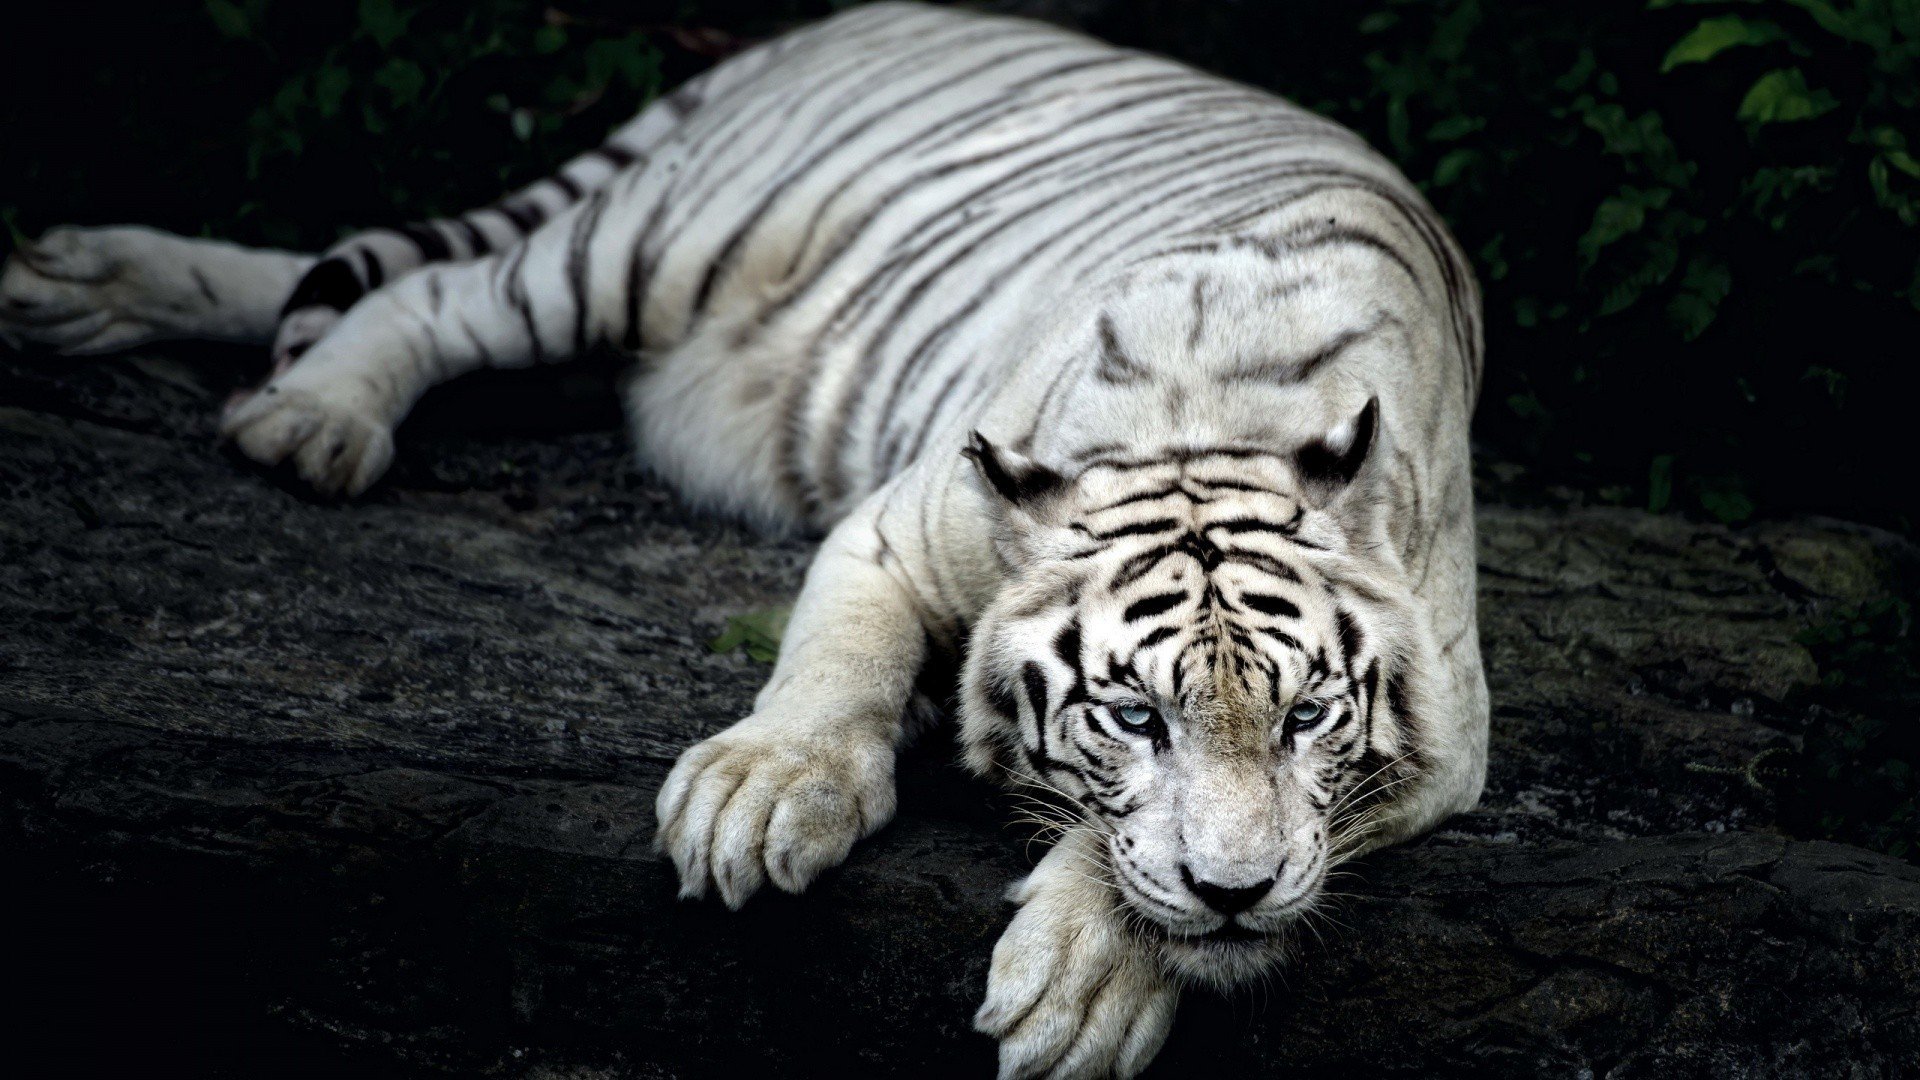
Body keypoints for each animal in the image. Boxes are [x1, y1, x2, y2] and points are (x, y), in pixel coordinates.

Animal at [0, 3, 1488, 1075]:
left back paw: (78, 290)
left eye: (1306, 720)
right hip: (649, 245)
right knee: (421, 290)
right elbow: (829, 674)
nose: (1236, 892)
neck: (1215, 415)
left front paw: (1090, 977)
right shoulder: (894, 528)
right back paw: (305, 412)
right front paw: (761, 797)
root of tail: (850, 17)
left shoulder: (1449, 732)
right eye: (1135, 718)